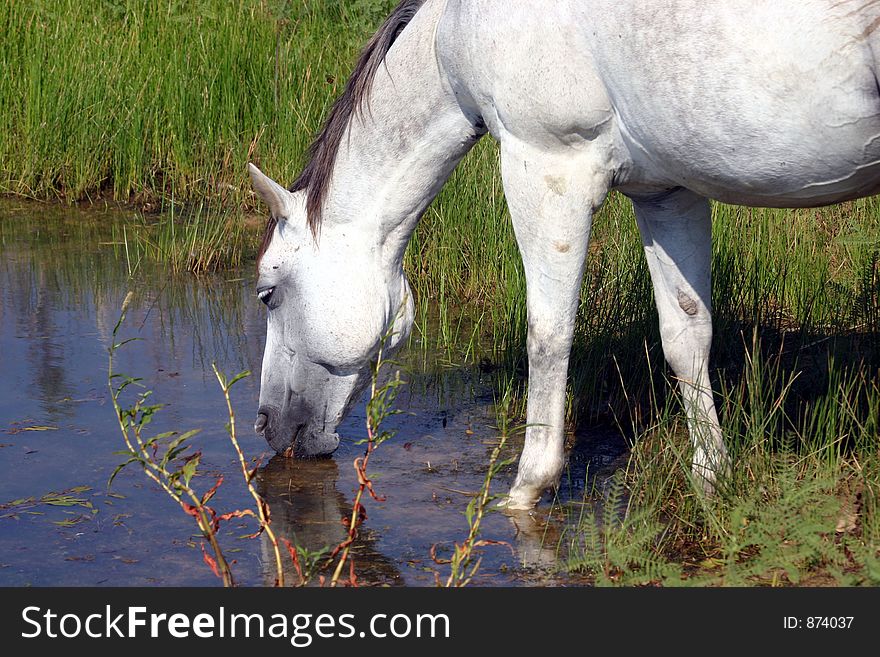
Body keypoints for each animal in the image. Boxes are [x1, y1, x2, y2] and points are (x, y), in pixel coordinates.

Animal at [246, 0, 880, 510]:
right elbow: (686, 335)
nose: (267, 425)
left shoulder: (546, 169)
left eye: (268, 293)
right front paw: (712, 479)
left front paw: (527, 489)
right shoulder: (667, 193)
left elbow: (548, 337)